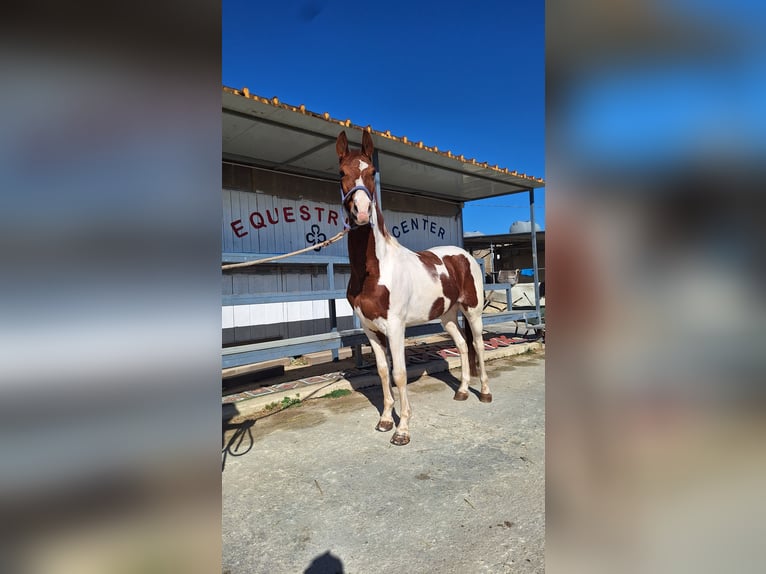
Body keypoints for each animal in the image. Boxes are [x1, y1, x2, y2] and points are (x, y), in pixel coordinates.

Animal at [336, 130, 491, 446]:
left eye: (372, 171)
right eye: (341, 172)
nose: (361, 212)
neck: (374, 271)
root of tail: (465, 254)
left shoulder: (395, 327)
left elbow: (399, 374)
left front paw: (402, 429)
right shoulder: (371, 329)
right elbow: (383, 372)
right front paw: (385, 420)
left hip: (472, 311)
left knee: (479, 345)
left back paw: (484, 392)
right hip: (447, 316)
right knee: (461, 344)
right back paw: (462, 391)